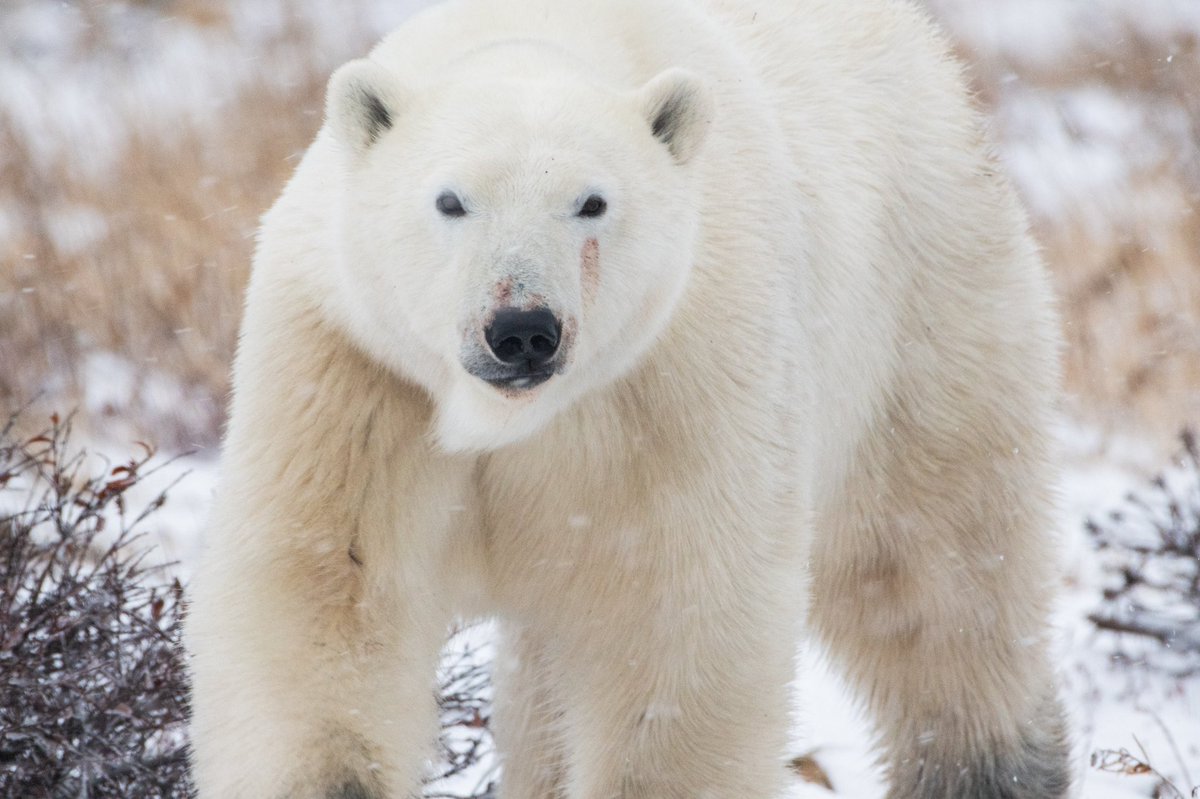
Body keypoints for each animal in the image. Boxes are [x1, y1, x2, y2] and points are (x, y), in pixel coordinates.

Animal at [185, 0, 1072, 797]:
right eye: (450, 199)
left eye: (592, 201)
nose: (522, 329)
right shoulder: (353, 370)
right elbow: (327, 591)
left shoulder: (680, 375)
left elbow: (674, 618)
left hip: (920, 303)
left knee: (935, 570)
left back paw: (989, 768)